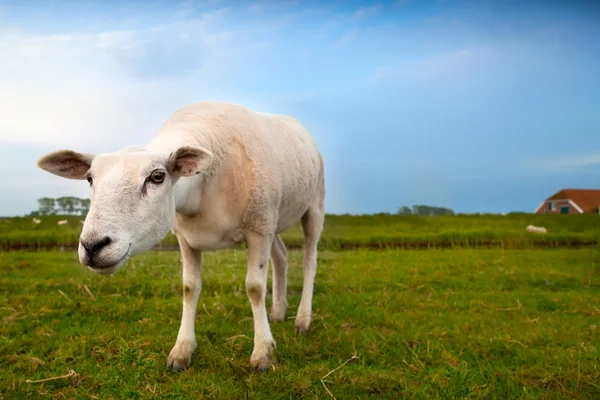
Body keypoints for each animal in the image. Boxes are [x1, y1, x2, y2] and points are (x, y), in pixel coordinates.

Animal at [36, 100, 328, 372]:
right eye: (89, 178)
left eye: (157, 177)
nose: (92, 246)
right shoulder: (186, 237)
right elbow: (190, 287)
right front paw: (182, 350)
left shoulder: (259, 227)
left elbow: (254, 288)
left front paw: (263, 352)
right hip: (276, 220)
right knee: (281, 256)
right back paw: (278, 312)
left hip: (312, 205)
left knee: (310, 260)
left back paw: (303, 319)